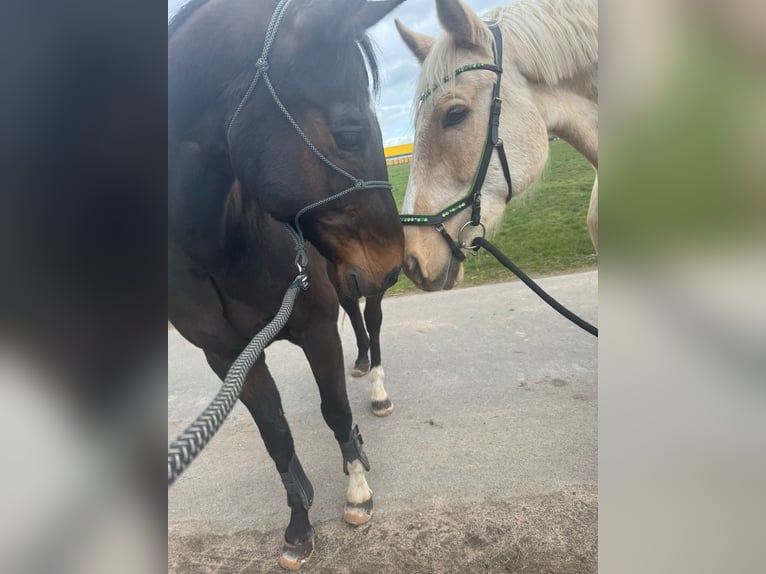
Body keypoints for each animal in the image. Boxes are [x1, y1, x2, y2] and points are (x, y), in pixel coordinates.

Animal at [168, 0, 405, 568]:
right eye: (349, 133)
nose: (393, 260)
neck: (219, 247)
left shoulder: (316, 327)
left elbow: (335, 410)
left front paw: (357, 492)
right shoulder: (229, 356)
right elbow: (276, 435)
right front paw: (299, 524)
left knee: (373, 324)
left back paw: (376, 387)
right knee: (358, 319)